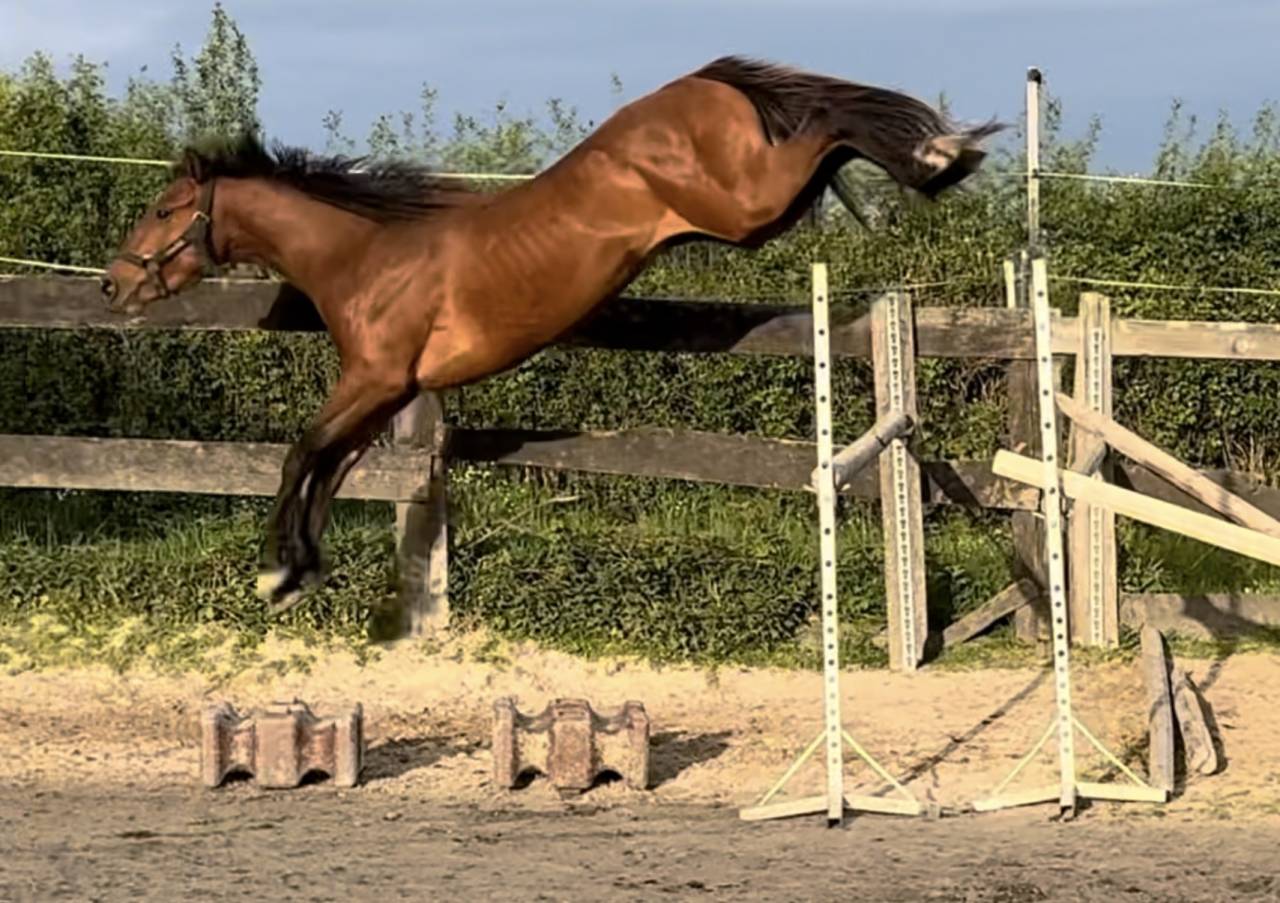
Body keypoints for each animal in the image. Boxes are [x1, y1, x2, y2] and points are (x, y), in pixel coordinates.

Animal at [100, 55, 1001, 613]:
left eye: (164, 211)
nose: (114, 283)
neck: (368, 252)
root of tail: (697, 83)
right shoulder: (386, 392)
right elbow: (327, 468)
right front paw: (300, 570)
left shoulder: (377, 380)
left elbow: (299, 454)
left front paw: (275, 572)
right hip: (757, 211)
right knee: (826, 141)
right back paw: (938, 154)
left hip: (747, 206)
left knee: (826, 128)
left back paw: (940, 153)